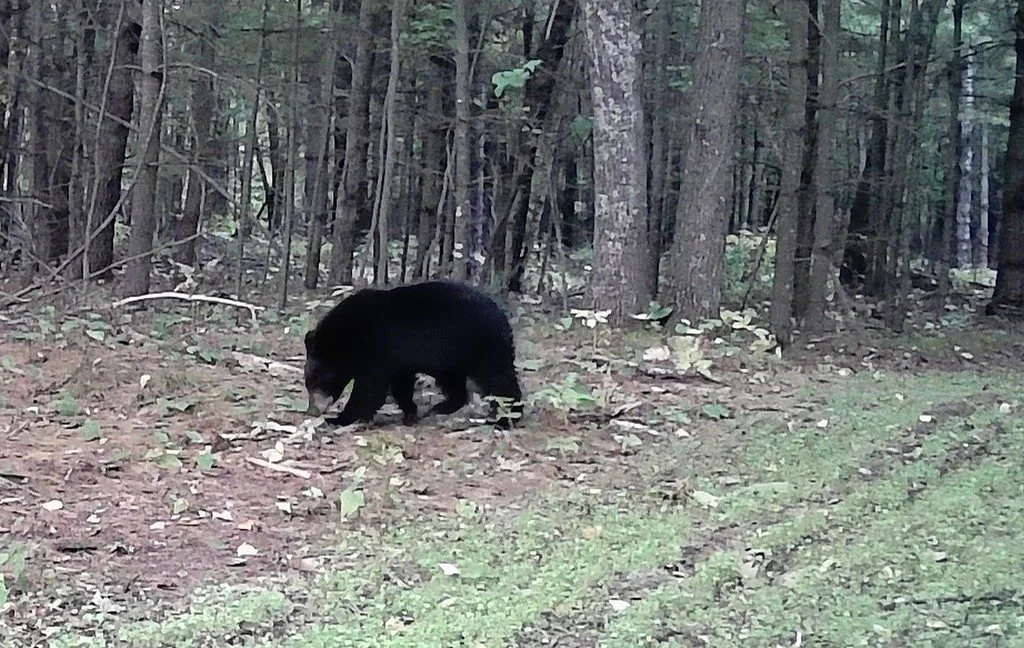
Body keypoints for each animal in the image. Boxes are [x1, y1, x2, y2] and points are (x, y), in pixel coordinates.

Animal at [303, 280, 524, 429]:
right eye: (308, 384)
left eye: (317, 383)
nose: (312, 411)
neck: (349, 336)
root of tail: (503, 319)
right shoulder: (398, 359)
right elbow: (401, 384)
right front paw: (410, 412)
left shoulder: (377, 349)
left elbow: (369, 389)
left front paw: (339, 418)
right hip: (451, 360)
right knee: (456, 386)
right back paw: (438, 408)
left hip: (482, 346)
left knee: (499, 379)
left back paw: (506, 418)